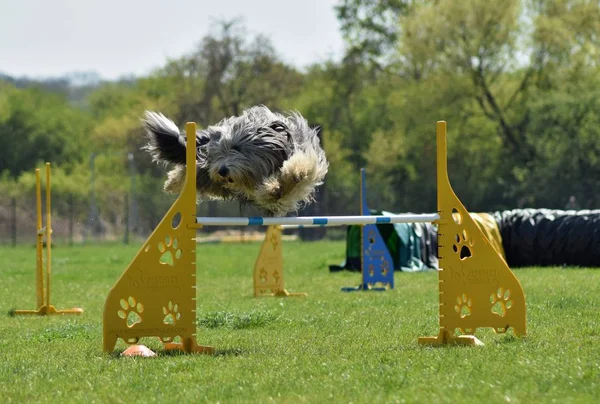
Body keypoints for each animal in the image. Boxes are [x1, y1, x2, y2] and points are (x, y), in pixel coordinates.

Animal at [142, 105, 328, 216]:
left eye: (237, 148)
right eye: (217, 153)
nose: (222, 171)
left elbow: (300, 173)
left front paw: (296, 173)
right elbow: (267, 194)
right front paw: (272, 188)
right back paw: (172, 184)